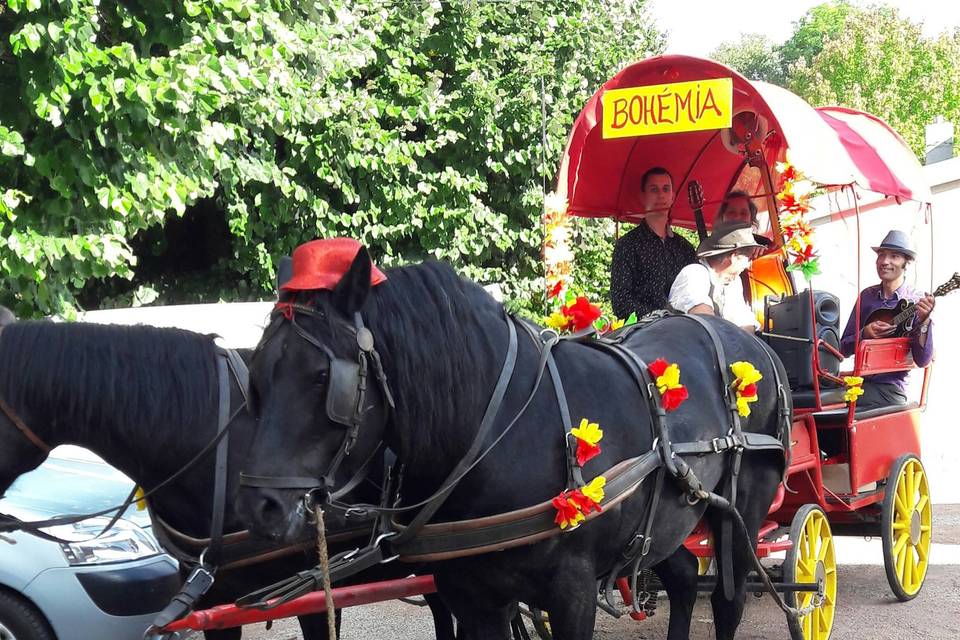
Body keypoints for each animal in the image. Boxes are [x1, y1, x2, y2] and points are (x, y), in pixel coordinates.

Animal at [238, 250, 788, 640]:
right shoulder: (471, 597)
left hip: (742, 512)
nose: (261, 506)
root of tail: (752, 345)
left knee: (728, 602)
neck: (497, 434)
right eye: (258, 374)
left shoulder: (572, 592)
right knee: (682, 578)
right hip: (661, 526)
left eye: (323, 377)